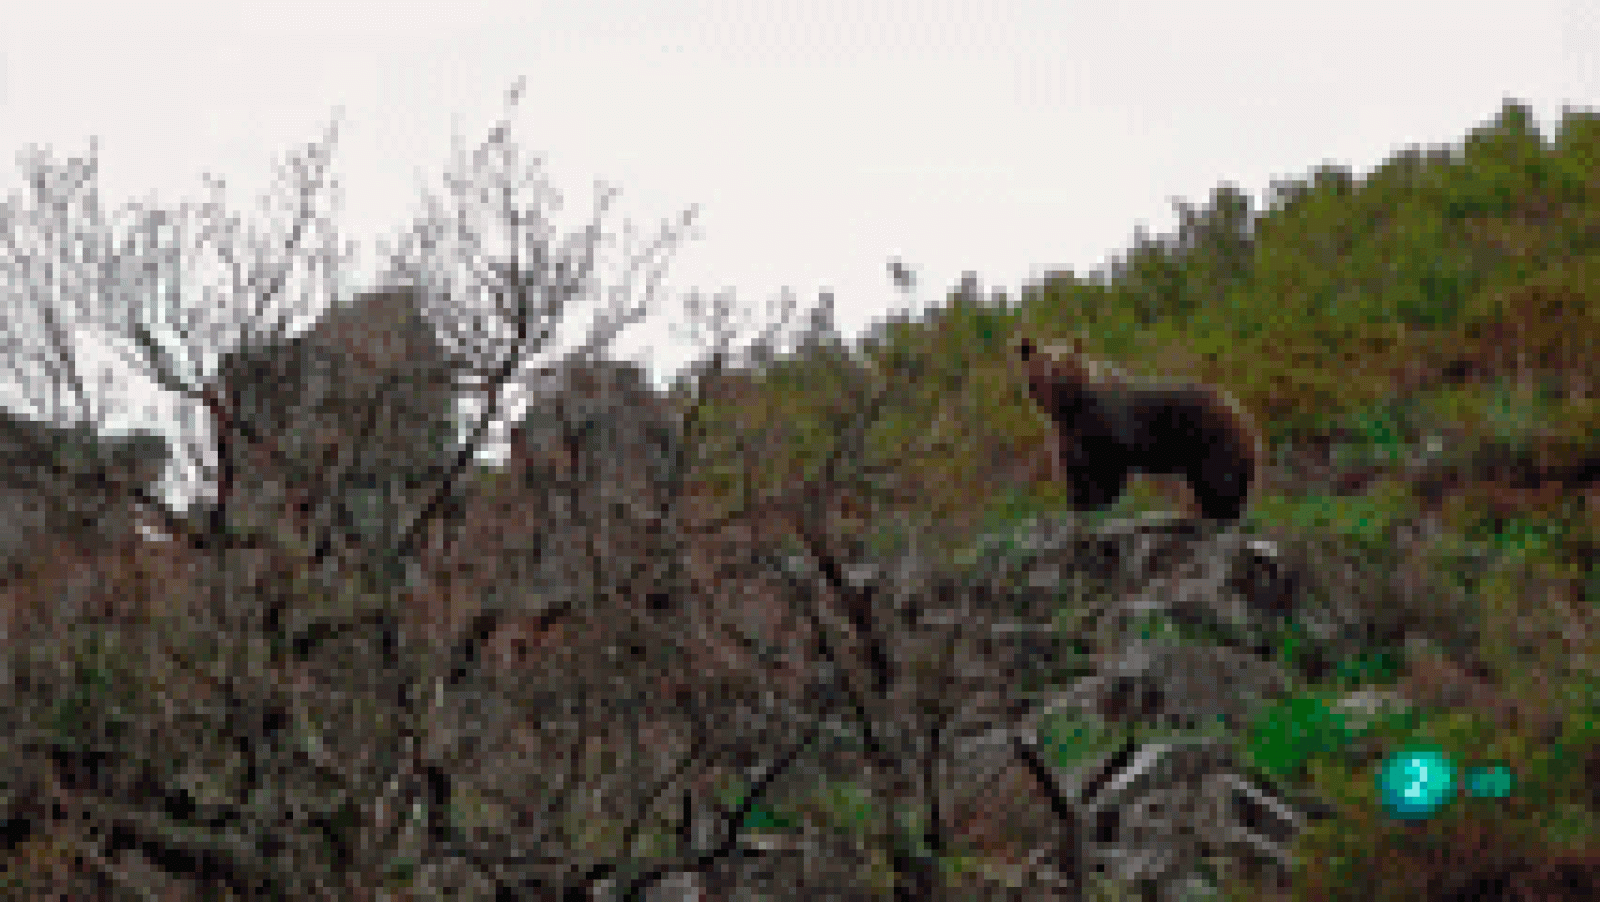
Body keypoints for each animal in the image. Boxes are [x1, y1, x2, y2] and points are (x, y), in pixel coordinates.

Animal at [1011, 335, 1260, 521]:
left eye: (1066, 364)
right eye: (1044, 364)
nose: (1058, 378)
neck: (1071, 411)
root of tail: (1243, 412)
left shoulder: (1109, 427)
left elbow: (1106, 470)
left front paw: (1100, 503)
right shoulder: (1068, 437)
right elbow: (1076, 472)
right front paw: (1079, 504)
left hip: (1212, 437)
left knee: (1219, 480)